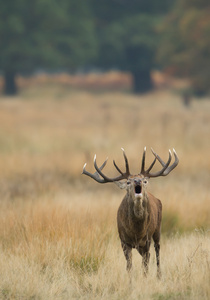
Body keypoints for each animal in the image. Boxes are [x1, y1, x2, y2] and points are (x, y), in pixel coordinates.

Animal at [82, 149, 179, 278]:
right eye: (128, 182)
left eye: (144, 180)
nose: (138, 181)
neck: (136, 231)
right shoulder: (124, 241)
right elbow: (129, 266)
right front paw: (130, 280)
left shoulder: (146, 239)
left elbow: (145, 264)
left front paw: (145, 278)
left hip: (157, 228)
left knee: (157, 251)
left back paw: (159, 276)